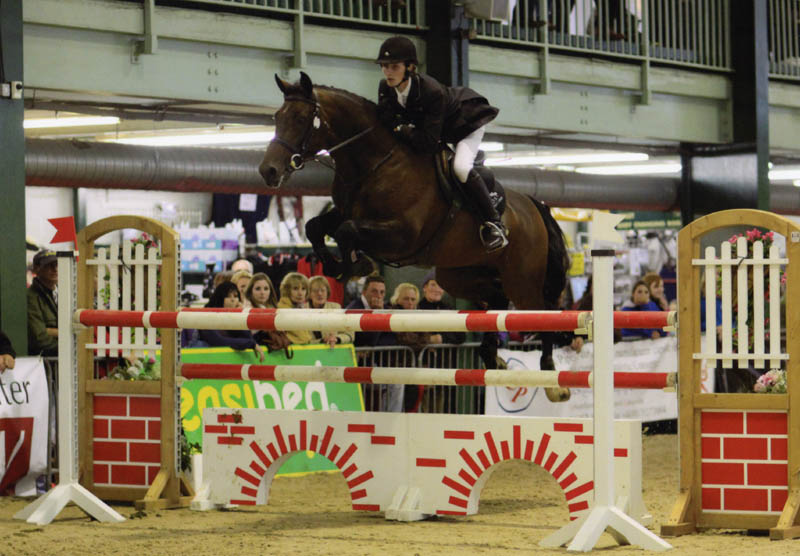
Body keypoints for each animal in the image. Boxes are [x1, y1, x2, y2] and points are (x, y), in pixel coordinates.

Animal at [260, 73, 572, 404]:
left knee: (542, 311)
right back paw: (493, 358)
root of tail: (532, 205)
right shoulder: (345, 212)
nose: (268, 171)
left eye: (301, 118)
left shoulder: (401, 235)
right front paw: (338, 267)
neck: (375, 163)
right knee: (496, 298)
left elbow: (347, 232)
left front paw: (355, 265)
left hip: (522, 279)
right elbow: (315, 227)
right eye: (276, 117)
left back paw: (553, 380)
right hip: (458, 275)